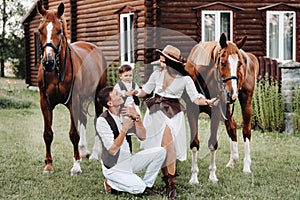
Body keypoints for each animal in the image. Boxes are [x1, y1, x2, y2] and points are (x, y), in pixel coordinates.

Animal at [36, 1, 106, 175]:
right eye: (40, 30)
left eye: (59, 30)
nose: (48, 62)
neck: (57, 70)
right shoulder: (44, 102)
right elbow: (48, 134)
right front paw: (48, 165)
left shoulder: (74, 101)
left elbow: (74, 134)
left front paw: (76, 166)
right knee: (84, 119)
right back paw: (84, 151)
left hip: (97, 97)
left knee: (96, 120)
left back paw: (95, 154)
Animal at [183, 33, 260, 184]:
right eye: (223, 62)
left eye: (239, 64)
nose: (233, 93)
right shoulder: (191, 111)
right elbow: (194, 143)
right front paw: (194, 178)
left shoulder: (217, 112)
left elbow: (213, 143)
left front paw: (212, 176)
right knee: (232, 126)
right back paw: (232, 160)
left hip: (246, 101)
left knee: (246, 131)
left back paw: (246, 166)